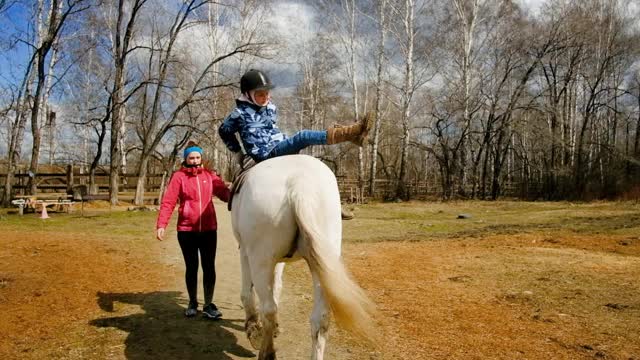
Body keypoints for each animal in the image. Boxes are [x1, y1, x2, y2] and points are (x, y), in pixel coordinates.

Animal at [231, 155, 376, 360]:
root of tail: (299, 184)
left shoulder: (245, 251)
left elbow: (248, 292)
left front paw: (253, 329)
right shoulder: (278, 260)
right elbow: (277, 286)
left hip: (261, 259)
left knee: (268, 308)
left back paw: (267, 352)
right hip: (322, 264)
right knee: (320, 319)